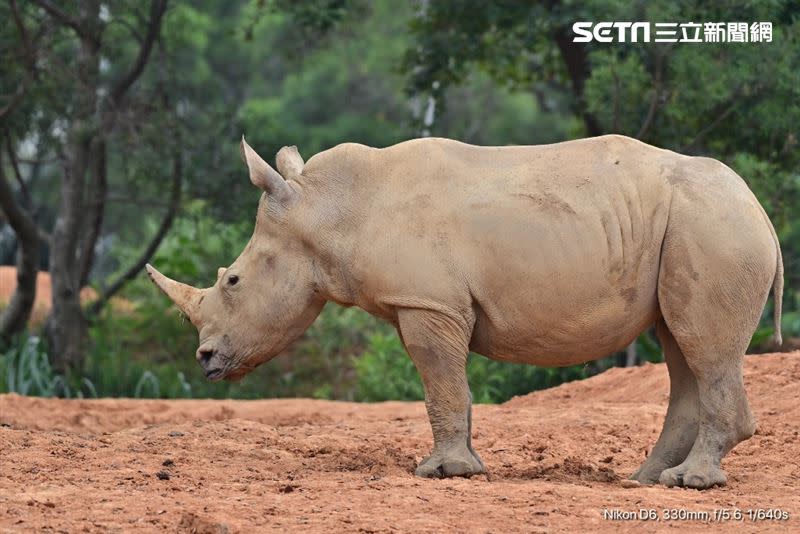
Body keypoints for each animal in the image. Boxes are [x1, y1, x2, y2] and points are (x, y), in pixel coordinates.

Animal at [145, 134, 780, 490]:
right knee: (682, 348)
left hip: (714, 228)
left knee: (702, 348)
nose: (204, 360)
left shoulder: (428, 303)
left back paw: (692, 484)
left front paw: (442, 473)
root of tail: (762, 211)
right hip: (697, 227)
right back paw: (648, 481)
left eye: (232, 281)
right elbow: (451, 386)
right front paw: (465, 466)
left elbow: (439, 382)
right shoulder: (434, 303)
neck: (330, 211)